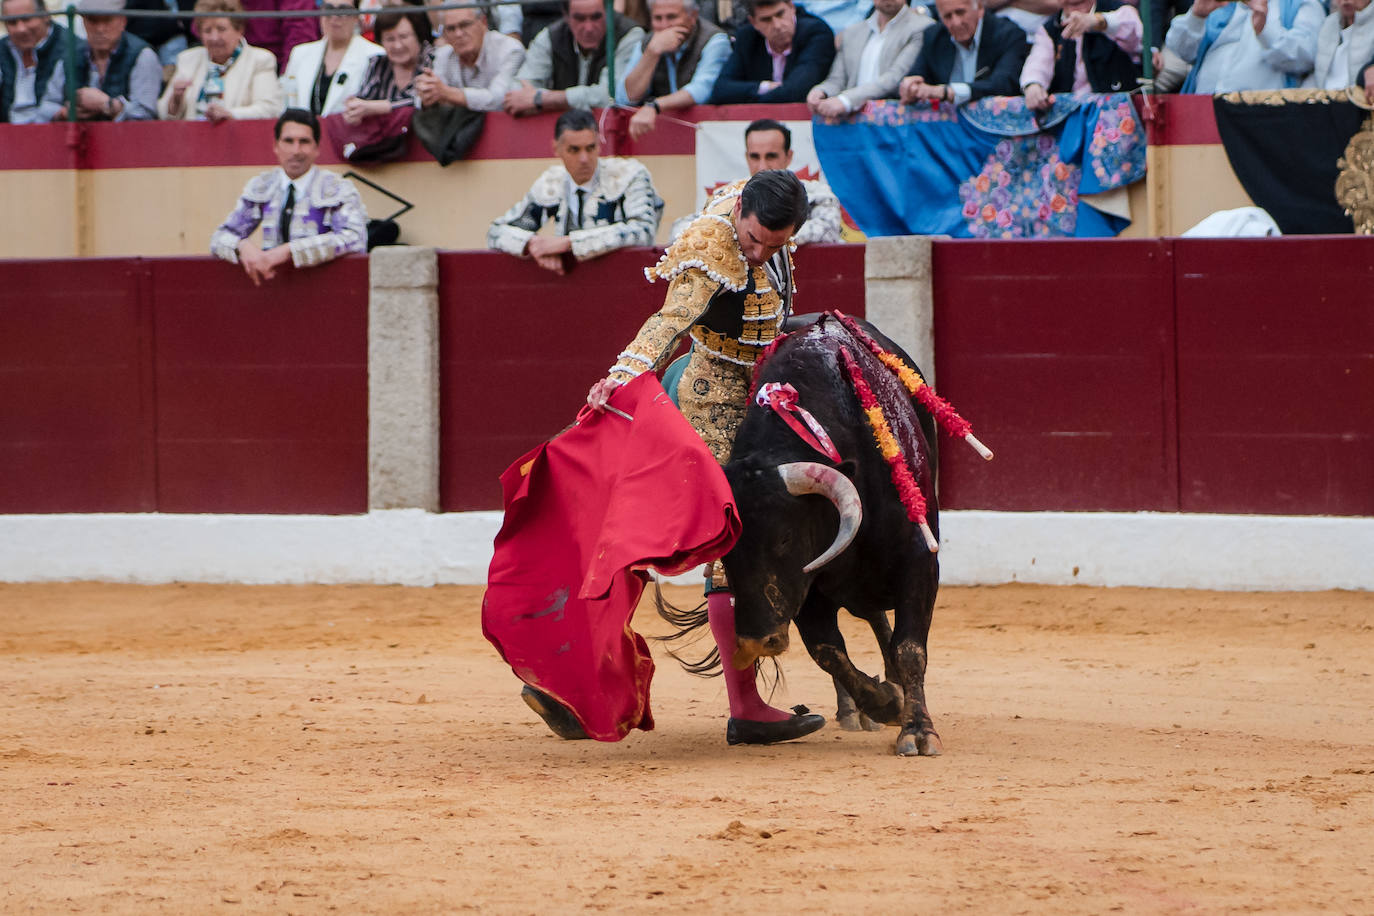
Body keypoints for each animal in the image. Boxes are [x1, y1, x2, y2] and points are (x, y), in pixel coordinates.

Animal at [719, 315, 945, 758]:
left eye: (785, 538)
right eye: (724, 552)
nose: (754, 642)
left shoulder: (920, 561)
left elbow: (910, 649)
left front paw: (917, 730)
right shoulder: (806, 588)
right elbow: (828, 651)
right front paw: (885, 703)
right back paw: (857, 709)